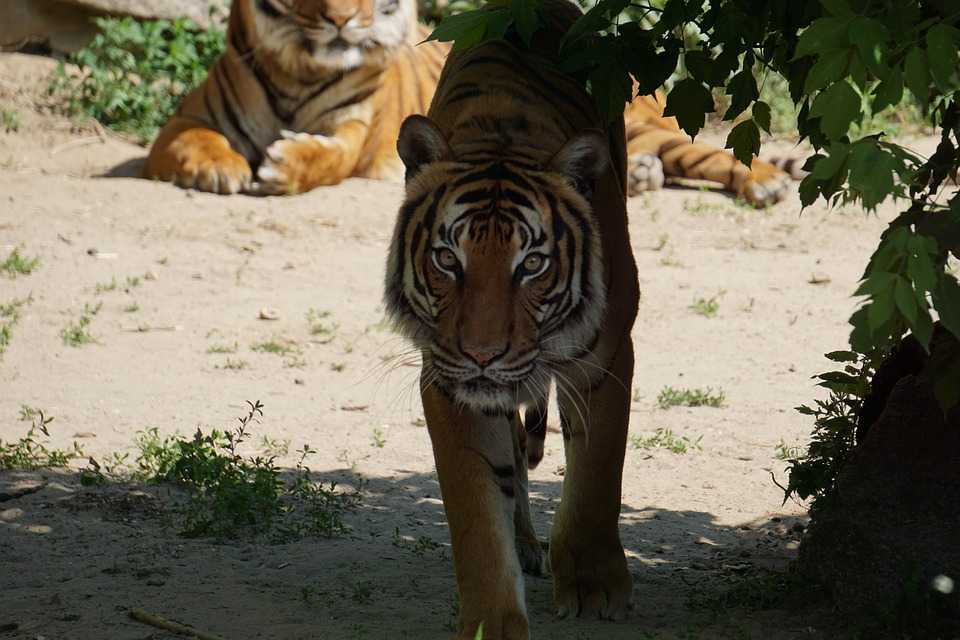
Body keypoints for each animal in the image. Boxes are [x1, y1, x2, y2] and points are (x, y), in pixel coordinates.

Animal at [139, 0, 792, 205]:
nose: (344, 22)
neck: (297, 66)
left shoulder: (355, 132)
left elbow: (327, 158)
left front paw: (281, 165)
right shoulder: (182, 121)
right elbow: (196, 141)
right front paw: (220, 169)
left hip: (645, 127)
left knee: (718, 154)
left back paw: (768, 183)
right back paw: (641, 179)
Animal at [382, 0, 636, 636]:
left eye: (532, 264)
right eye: (448, 259)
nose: (482, 354)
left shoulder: (606, 357)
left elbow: (597, 472)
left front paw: (593, 586)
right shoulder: (449, 382)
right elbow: (477, 507)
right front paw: (491, 621)